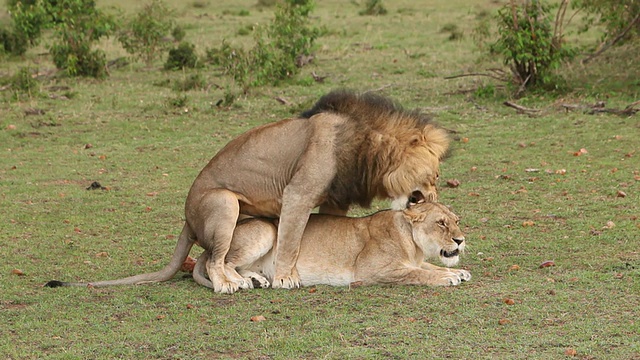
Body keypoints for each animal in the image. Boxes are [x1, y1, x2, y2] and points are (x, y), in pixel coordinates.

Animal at [191, 202, 470, 290]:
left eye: (456, 221)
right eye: (441, 223)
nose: (460, 240)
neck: (413, 244)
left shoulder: (415, 260)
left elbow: (429, 267)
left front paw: (457, 272)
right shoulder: (372, 271)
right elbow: (418, 273)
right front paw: (447, 278)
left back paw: (257, 279)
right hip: (267, 230)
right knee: (221, 261)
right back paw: (235, 283)